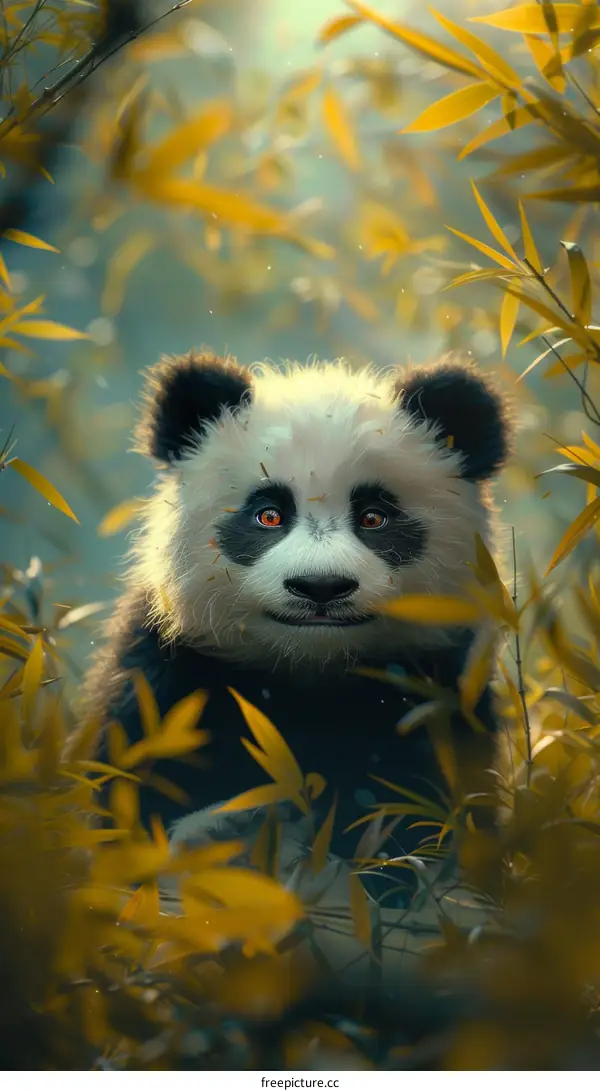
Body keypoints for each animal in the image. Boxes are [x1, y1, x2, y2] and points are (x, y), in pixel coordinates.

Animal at [80, 349, 511, 869]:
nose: (320, 587)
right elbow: (129, 791)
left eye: (373, 517)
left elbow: (419, 815)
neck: (309, 672)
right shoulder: (168, 681)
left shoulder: (437, 697)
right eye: (269, 514)